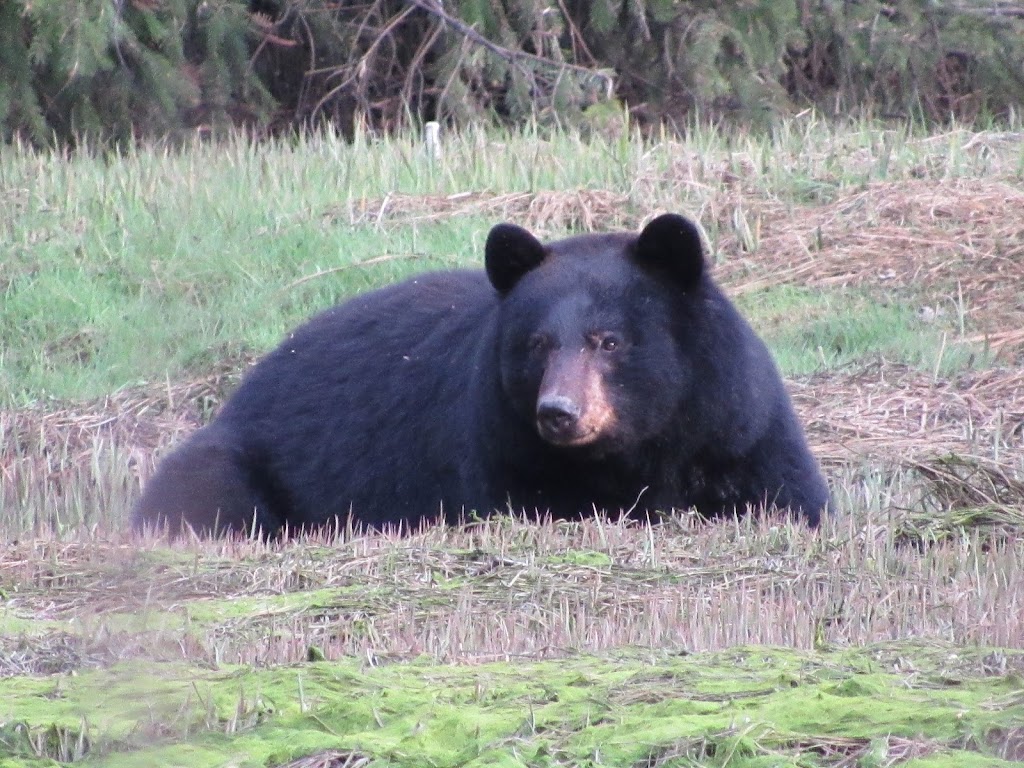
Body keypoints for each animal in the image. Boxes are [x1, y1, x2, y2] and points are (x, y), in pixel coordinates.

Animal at [132, 210, 827, 536]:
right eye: (537, 343)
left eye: (608, 341)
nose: (558, 413)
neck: (639, 449)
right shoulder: (500, 447)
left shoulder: (737, 426)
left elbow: (788, 496)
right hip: (233, 461)